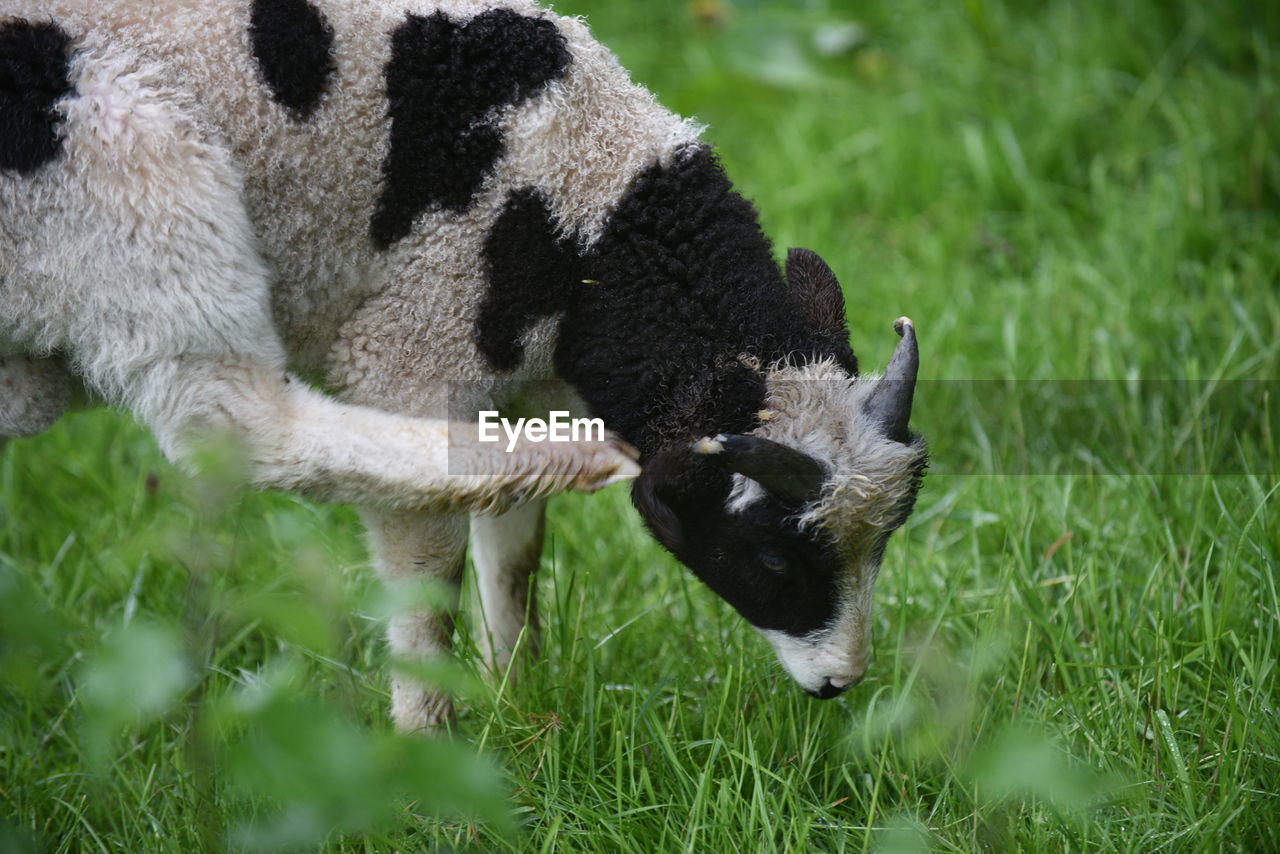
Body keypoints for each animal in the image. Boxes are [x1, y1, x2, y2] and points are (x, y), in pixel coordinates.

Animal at [0, 1, 926, 737]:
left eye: (884, 543)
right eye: (771, 559)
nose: (840, 684)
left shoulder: (515, 379)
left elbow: (515, 552)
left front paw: (514, 690)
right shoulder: (414, 347)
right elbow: (428, 566)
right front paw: (427, 746)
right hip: (140, 179)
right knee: (237, 420)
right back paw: (569, 461)